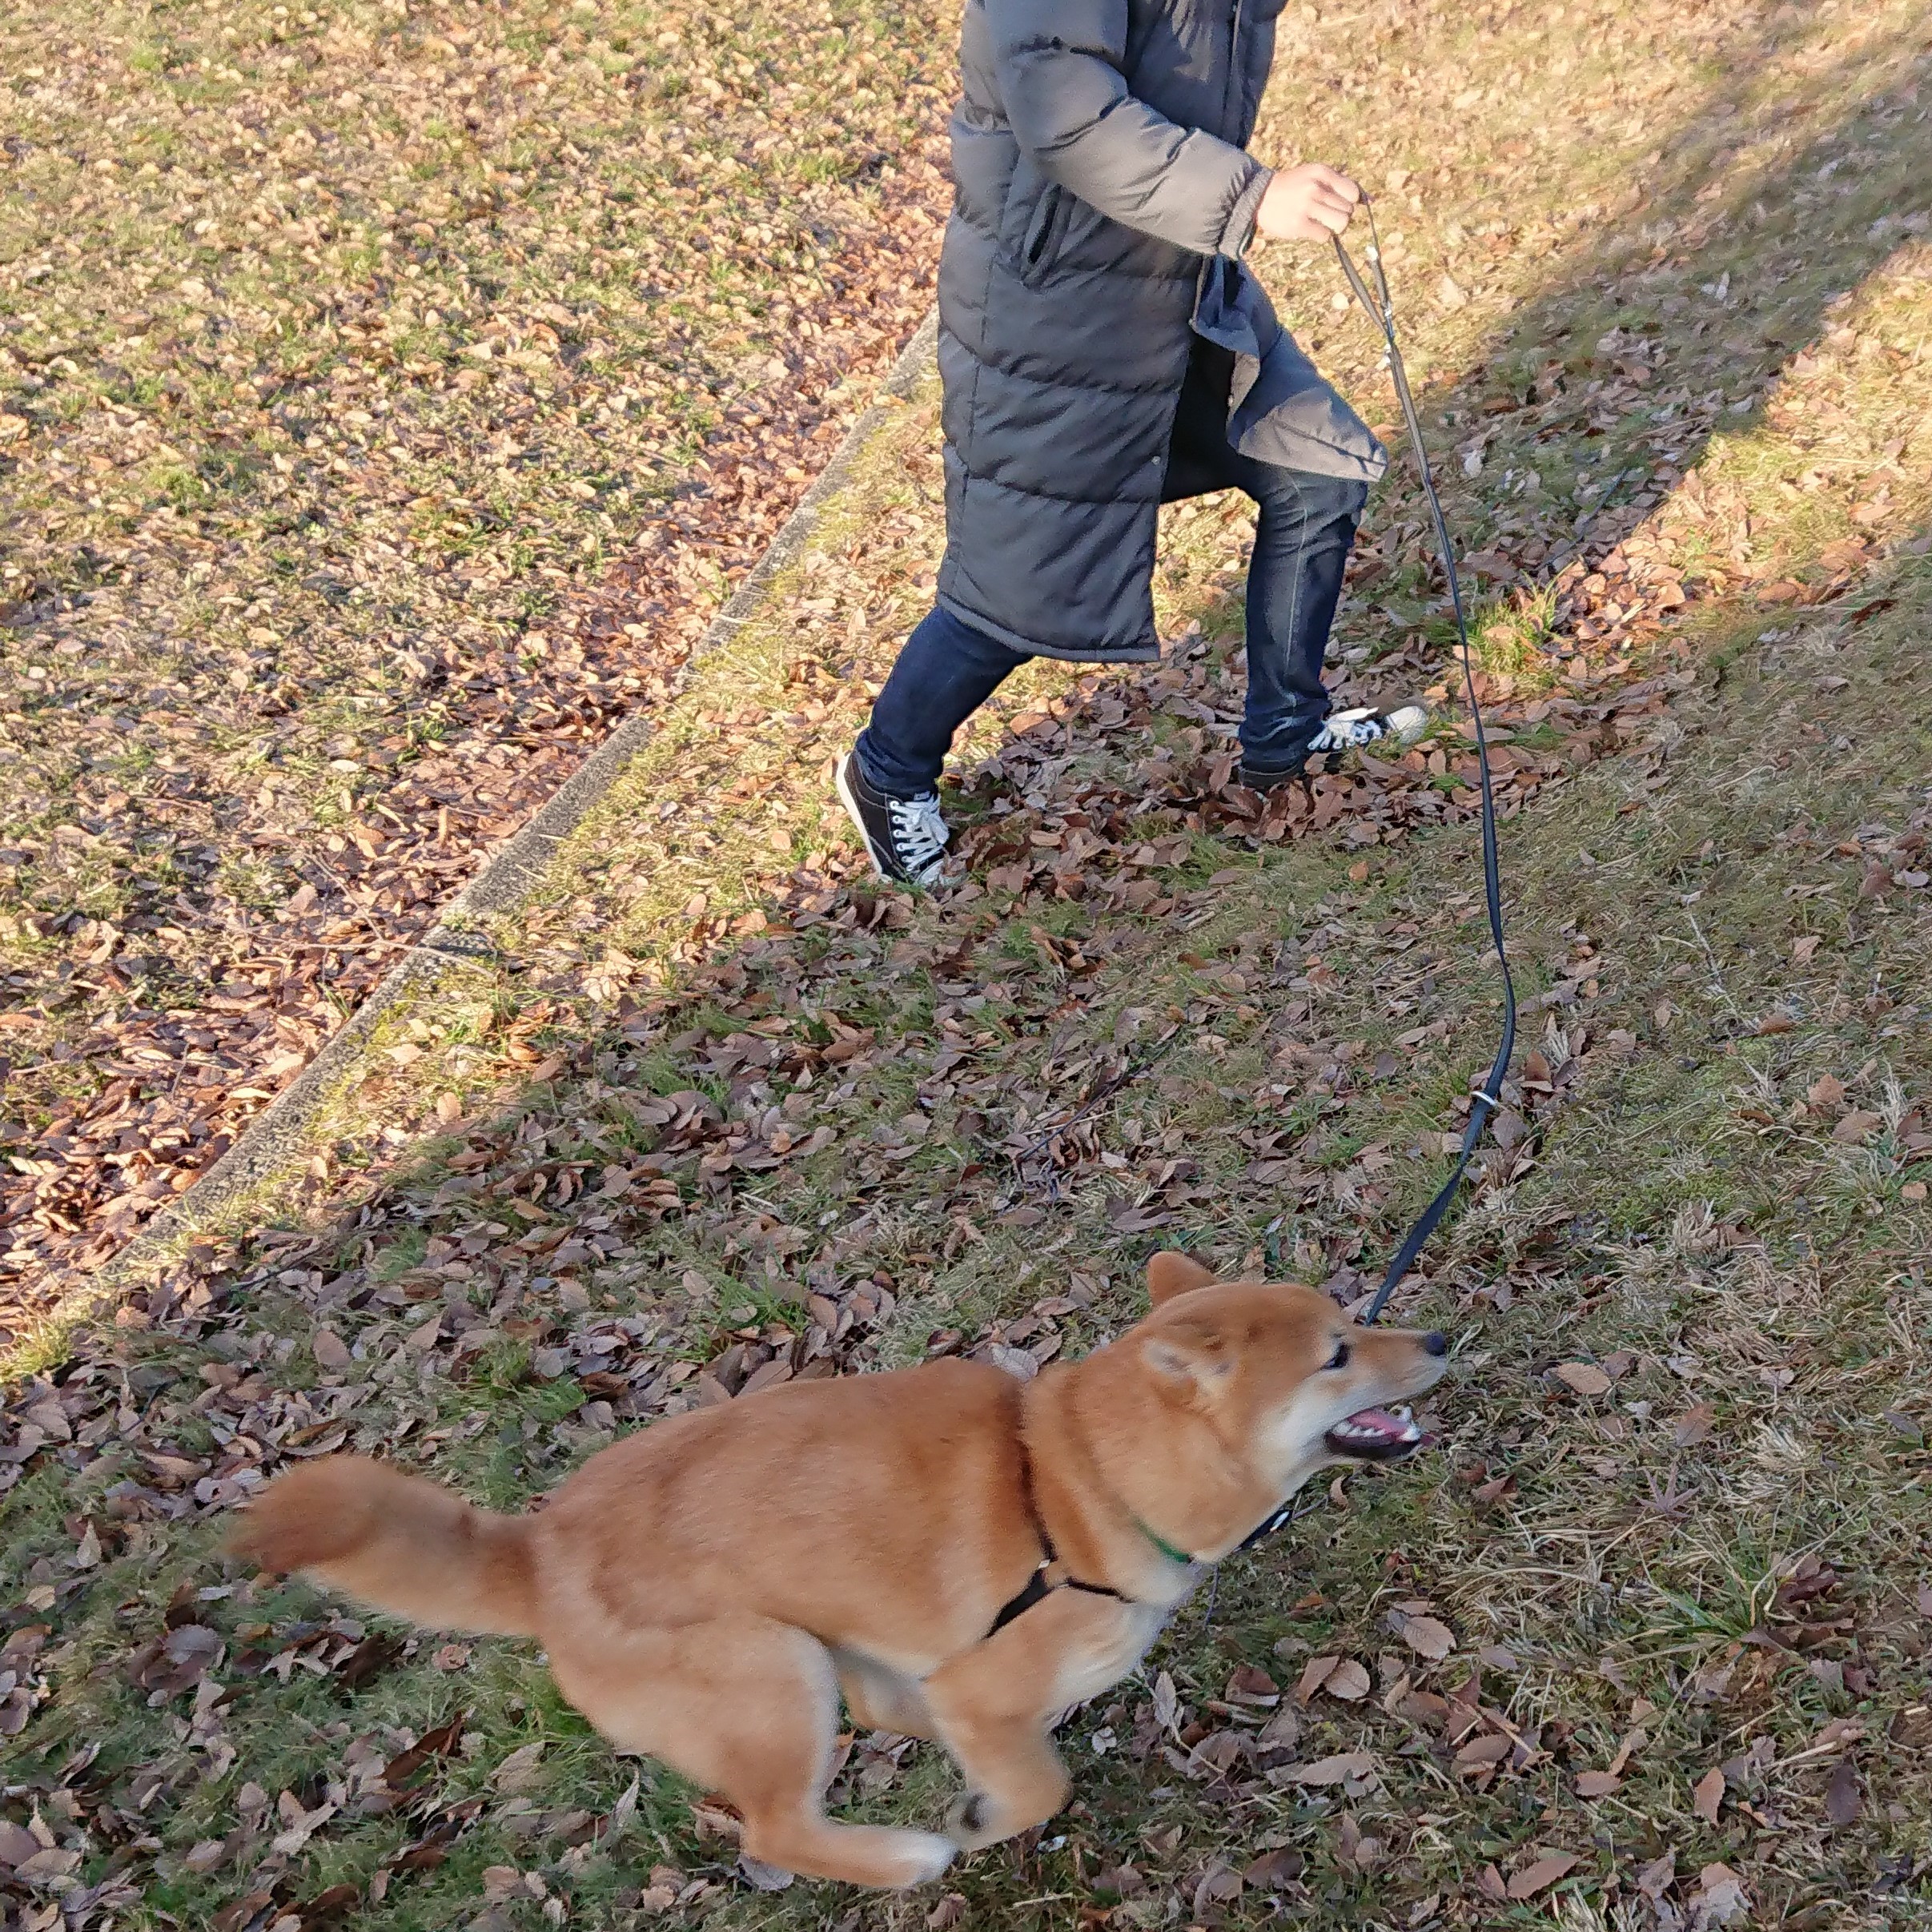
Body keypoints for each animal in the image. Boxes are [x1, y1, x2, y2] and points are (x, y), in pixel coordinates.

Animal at [230, 1251, 1452, 1886]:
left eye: (1352, 1314)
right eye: (1337, 1352)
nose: (1439, 1339)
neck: (1079, 1482)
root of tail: (536, 1549)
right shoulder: (987, 1686)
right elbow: (1037, 1784)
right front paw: (981, 1823)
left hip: (825, 1655)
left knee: (874, 1710)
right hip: (769, 1675)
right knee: (778, 1826)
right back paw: (903, 1854)